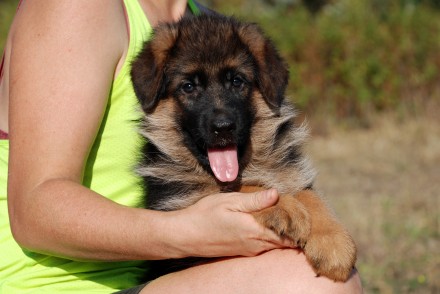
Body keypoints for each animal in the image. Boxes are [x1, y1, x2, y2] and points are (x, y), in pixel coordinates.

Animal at [129, 13, 356, 282]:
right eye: (188, 86)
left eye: (237, 81)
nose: (223, 127)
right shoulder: (180, 205)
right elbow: (237, 189)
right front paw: (286, 207)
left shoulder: (291, 174)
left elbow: (310, 195)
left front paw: (333, 244)